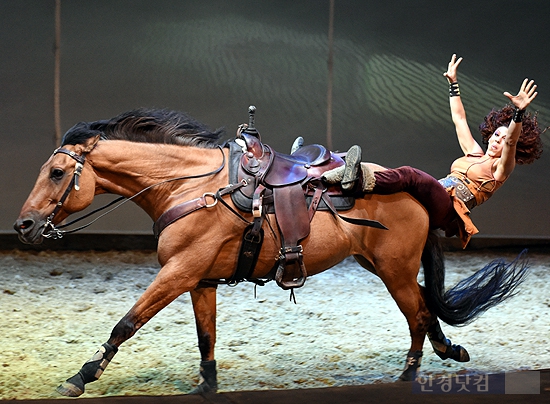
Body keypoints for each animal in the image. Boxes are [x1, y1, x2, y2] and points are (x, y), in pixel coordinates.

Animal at [14, 109, 532, 396]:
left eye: (57, 173)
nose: (24, 225)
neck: (195, 188)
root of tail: (421, 190)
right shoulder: (199, 279)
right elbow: (206, 337)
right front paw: (207, 384)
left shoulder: (178, 273)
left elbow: (126, 323)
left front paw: (81, 376)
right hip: (383, 267)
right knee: (425, 307)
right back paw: (447, 350)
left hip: (395, 270)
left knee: (419, 314)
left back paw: (407, 379)